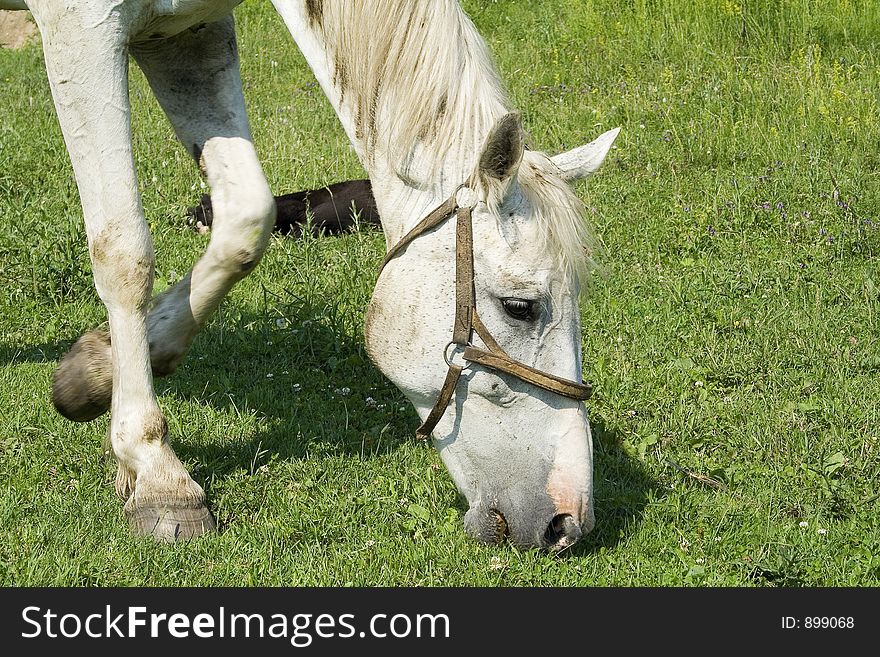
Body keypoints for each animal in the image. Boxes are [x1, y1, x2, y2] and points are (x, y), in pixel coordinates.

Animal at [1, 1, 620, 548]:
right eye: (520, 307)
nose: (568, 521)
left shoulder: (190, 32)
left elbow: (247, 221)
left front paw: (94, 372)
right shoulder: (82, 31)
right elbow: (124, 251)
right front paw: (158, 477)